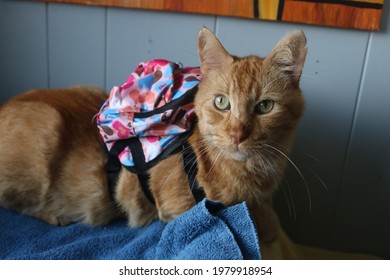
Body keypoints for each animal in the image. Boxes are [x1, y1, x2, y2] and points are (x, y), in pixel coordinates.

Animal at [0, 29, 306, 258]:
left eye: (265, 106)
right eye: (222, 102)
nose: (237, 135)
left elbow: (267, 216)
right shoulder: (180, 210)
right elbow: (247, 218)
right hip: (47, 128)